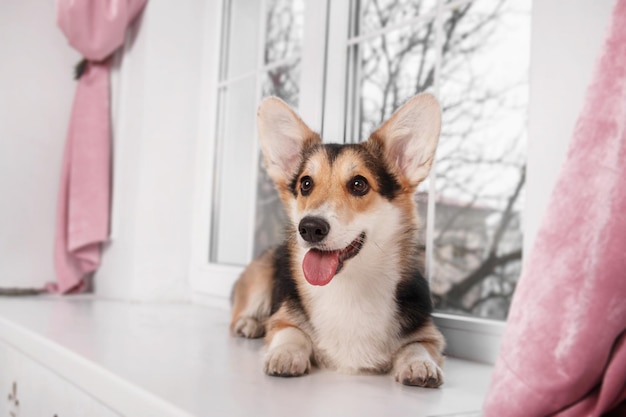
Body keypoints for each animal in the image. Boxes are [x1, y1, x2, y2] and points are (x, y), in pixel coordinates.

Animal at [229, 92, 444, 386]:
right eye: (306, 183)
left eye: (359, 184)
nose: (309, 228)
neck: (349, 287)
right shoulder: (284, 320)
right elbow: (290, 333)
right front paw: (285, 354)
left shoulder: (430, 334)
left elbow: (417, 346)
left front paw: (419, 365)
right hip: (262, 274)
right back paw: (250, 324)